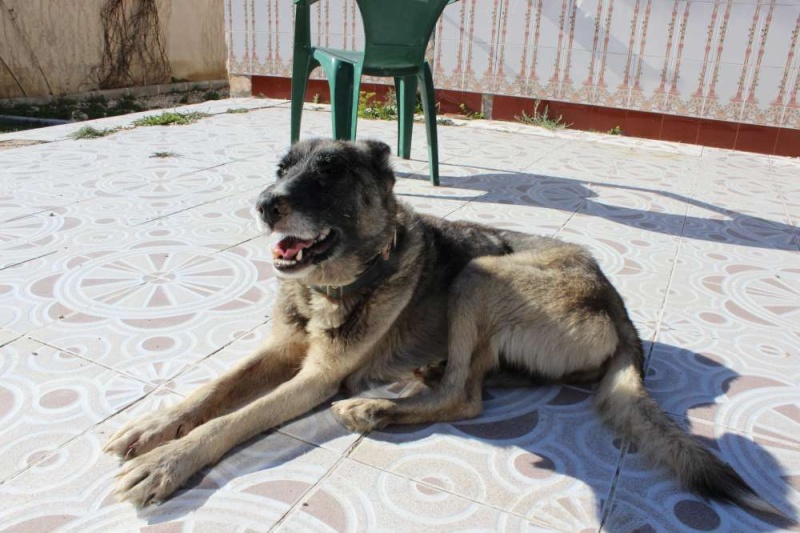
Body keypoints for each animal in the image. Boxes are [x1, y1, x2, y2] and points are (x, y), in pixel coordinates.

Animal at [104, 137, 780, 516]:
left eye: (329, 173)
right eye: (282, 168)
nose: (266, 205)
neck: (346, 276)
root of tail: (616, 302)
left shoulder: (317, 379)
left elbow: (233, 419)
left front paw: (170, 462)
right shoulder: (278, 349)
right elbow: (213, 391)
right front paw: (152, 427)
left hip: (479, 274)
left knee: (467, 397)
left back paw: (375, 409)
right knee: (472, 381)